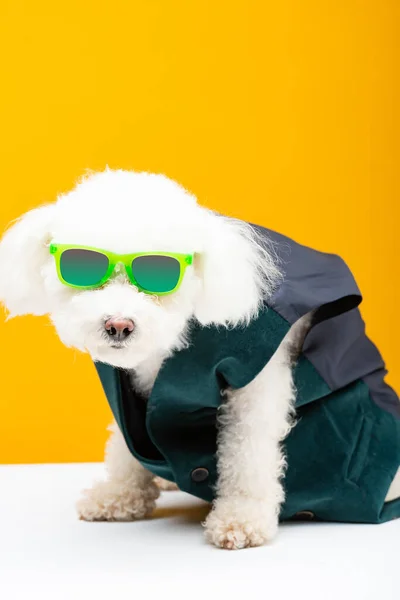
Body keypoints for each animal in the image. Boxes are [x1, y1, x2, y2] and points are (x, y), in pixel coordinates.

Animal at [0, 169, 400, 548]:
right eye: (81, 267)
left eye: (160, 274)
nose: (119, 325)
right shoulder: (128, 392)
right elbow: (125, 442)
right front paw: (120, 494)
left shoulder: (258, 381)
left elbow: (249, 453)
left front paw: (242, 517)